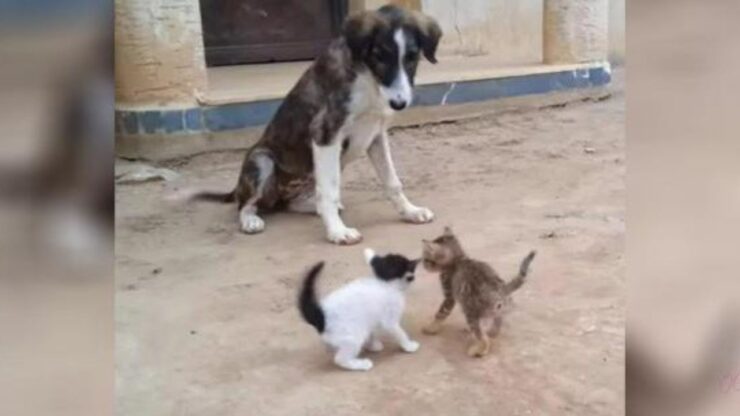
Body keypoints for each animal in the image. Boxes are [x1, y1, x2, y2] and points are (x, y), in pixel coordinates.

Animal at [192, 5, 446, 244]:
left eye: (411, 57)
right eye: (378, 56)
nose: (399, 103)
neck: (368, 80)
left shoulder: (376, 135)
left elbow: (392, 181)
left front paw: (410, 211)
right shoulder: (325, 133)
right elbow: (330, 191)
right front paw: (337, 231)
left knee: (291, 202)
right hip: (262, 161)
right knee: (245, 204)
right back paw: (251, 220)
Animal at [420, 228, 536, 358]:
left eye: (426, 259)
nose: (423, 265)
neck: (458, 260)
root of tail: (502, 288)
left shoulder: (449, 296)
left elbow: (441, 313)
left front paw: (431, 328)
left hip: (471, 312)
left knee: (482, 336)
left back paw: (479, 349)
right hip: (495, 312)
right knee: (496, 324)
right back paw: (492, 332)